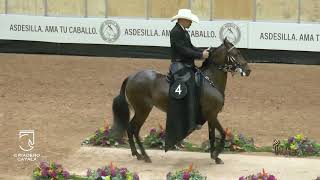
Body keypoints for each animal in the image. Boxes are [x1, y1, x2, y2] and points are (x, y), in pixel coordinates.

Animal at [111, 38, 251, 164]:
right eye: (236, 53)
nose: (248, 70)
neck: (209, 80)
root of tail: (131, 77)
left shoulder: (211, 116)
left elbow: (212, 136)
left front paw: (214, 157)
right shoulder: (211, 114)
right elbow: (222, 134)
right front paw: (216, 155)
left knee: (131, 129)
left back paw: (138, 154)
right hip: (143, 110)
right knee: (133, 129)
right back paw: (144, 156)